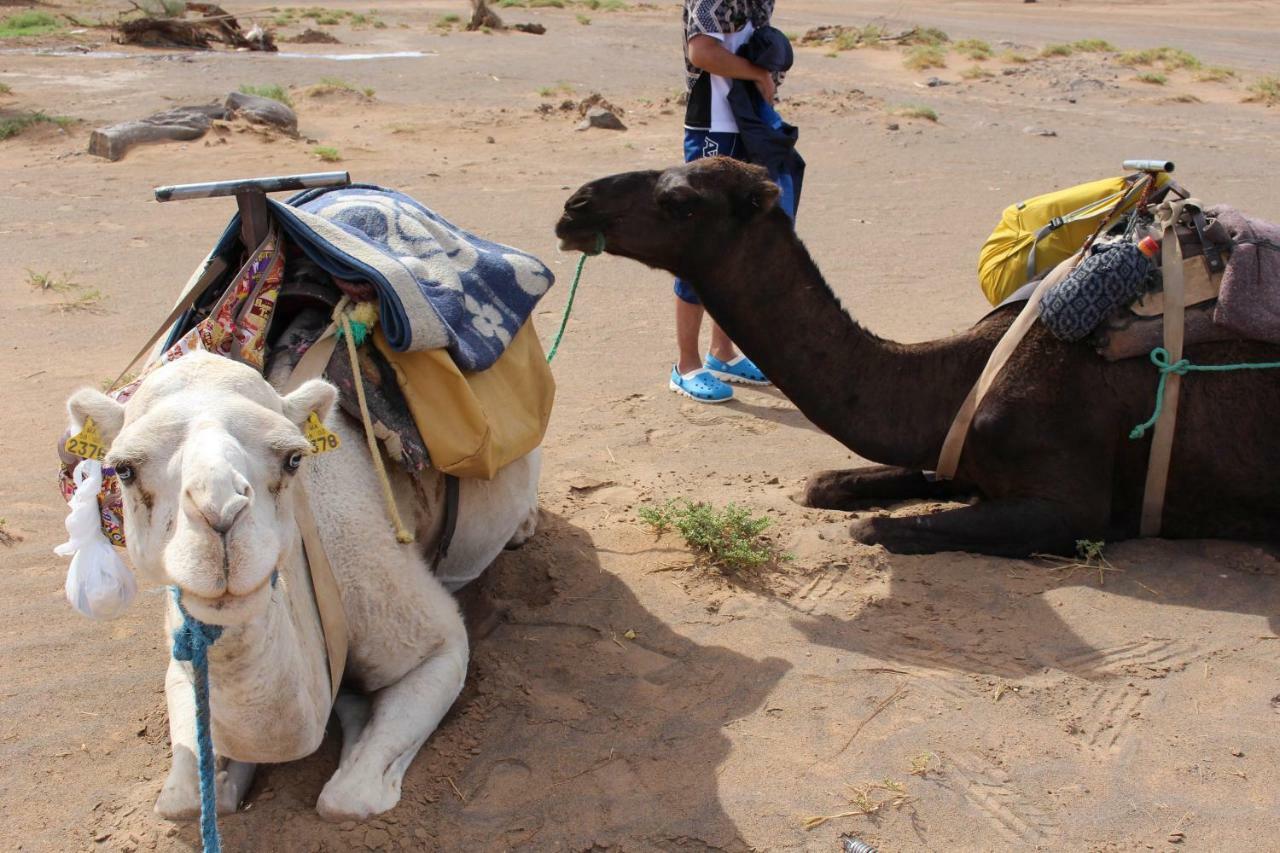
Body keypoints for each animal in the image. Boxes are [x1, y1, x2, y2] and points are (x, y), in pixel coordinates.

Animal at [64, 348, 540, 819]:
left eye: (293, 458)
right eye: (123, 469)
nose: (220, 514)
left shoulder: (431, 636)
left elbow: (345, 800)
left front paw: (353, 717)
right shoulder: (182, 666)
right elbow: (184, 798)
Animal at [555, 157, 1280, 558]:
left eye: (680, 200)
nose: (574, 204)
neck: (961, 375)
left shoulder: (1073, 506)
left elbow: (881, 529)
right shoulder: (958, 453)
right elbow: (830, 484)